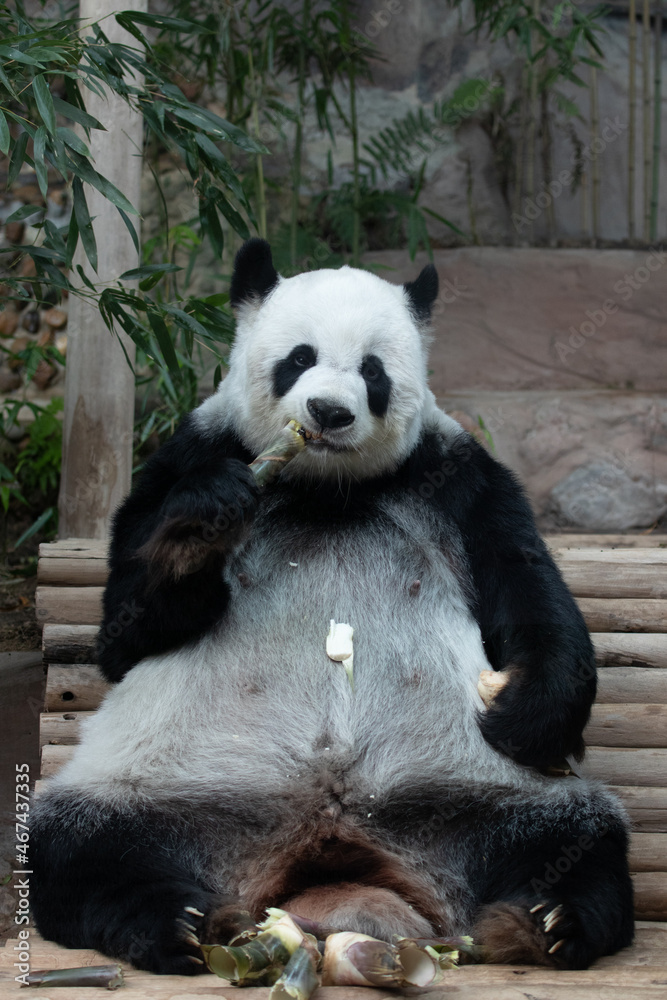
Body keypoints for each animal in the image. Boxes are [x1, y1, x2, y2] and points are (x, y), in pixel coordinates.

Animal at [32, 239, 634, 975]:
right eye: (299, 357)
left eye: (372, 372)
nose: (327, 411)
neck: (325, 487)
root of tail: (325, 841)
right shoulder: (189, 457)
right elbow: (124, 636)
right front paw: (199, 527)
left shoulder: (456, 478)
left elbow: (528, 592)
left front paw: (526, 715)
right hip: (167, 785)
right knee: (77, 845)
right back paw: (173, 920)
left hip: (474, 792)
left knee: (575, 839)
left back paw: (549, 916)